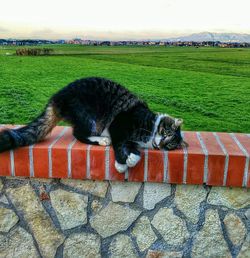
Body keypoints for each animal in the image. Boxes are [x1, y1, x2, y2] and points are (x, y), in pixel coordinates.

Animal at [0, 76, 187, 173]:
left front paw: (132, 159)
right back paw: (102, 140)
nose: (160, 145)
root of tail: (57, 98)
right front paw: (121, 164)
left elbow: (131, 147)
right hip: (88, 116)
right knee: (78, 134)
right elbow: (120, 144)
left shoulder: (132, 138)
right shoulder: (119, 124)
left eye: (170, 145)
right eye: (166, 133)